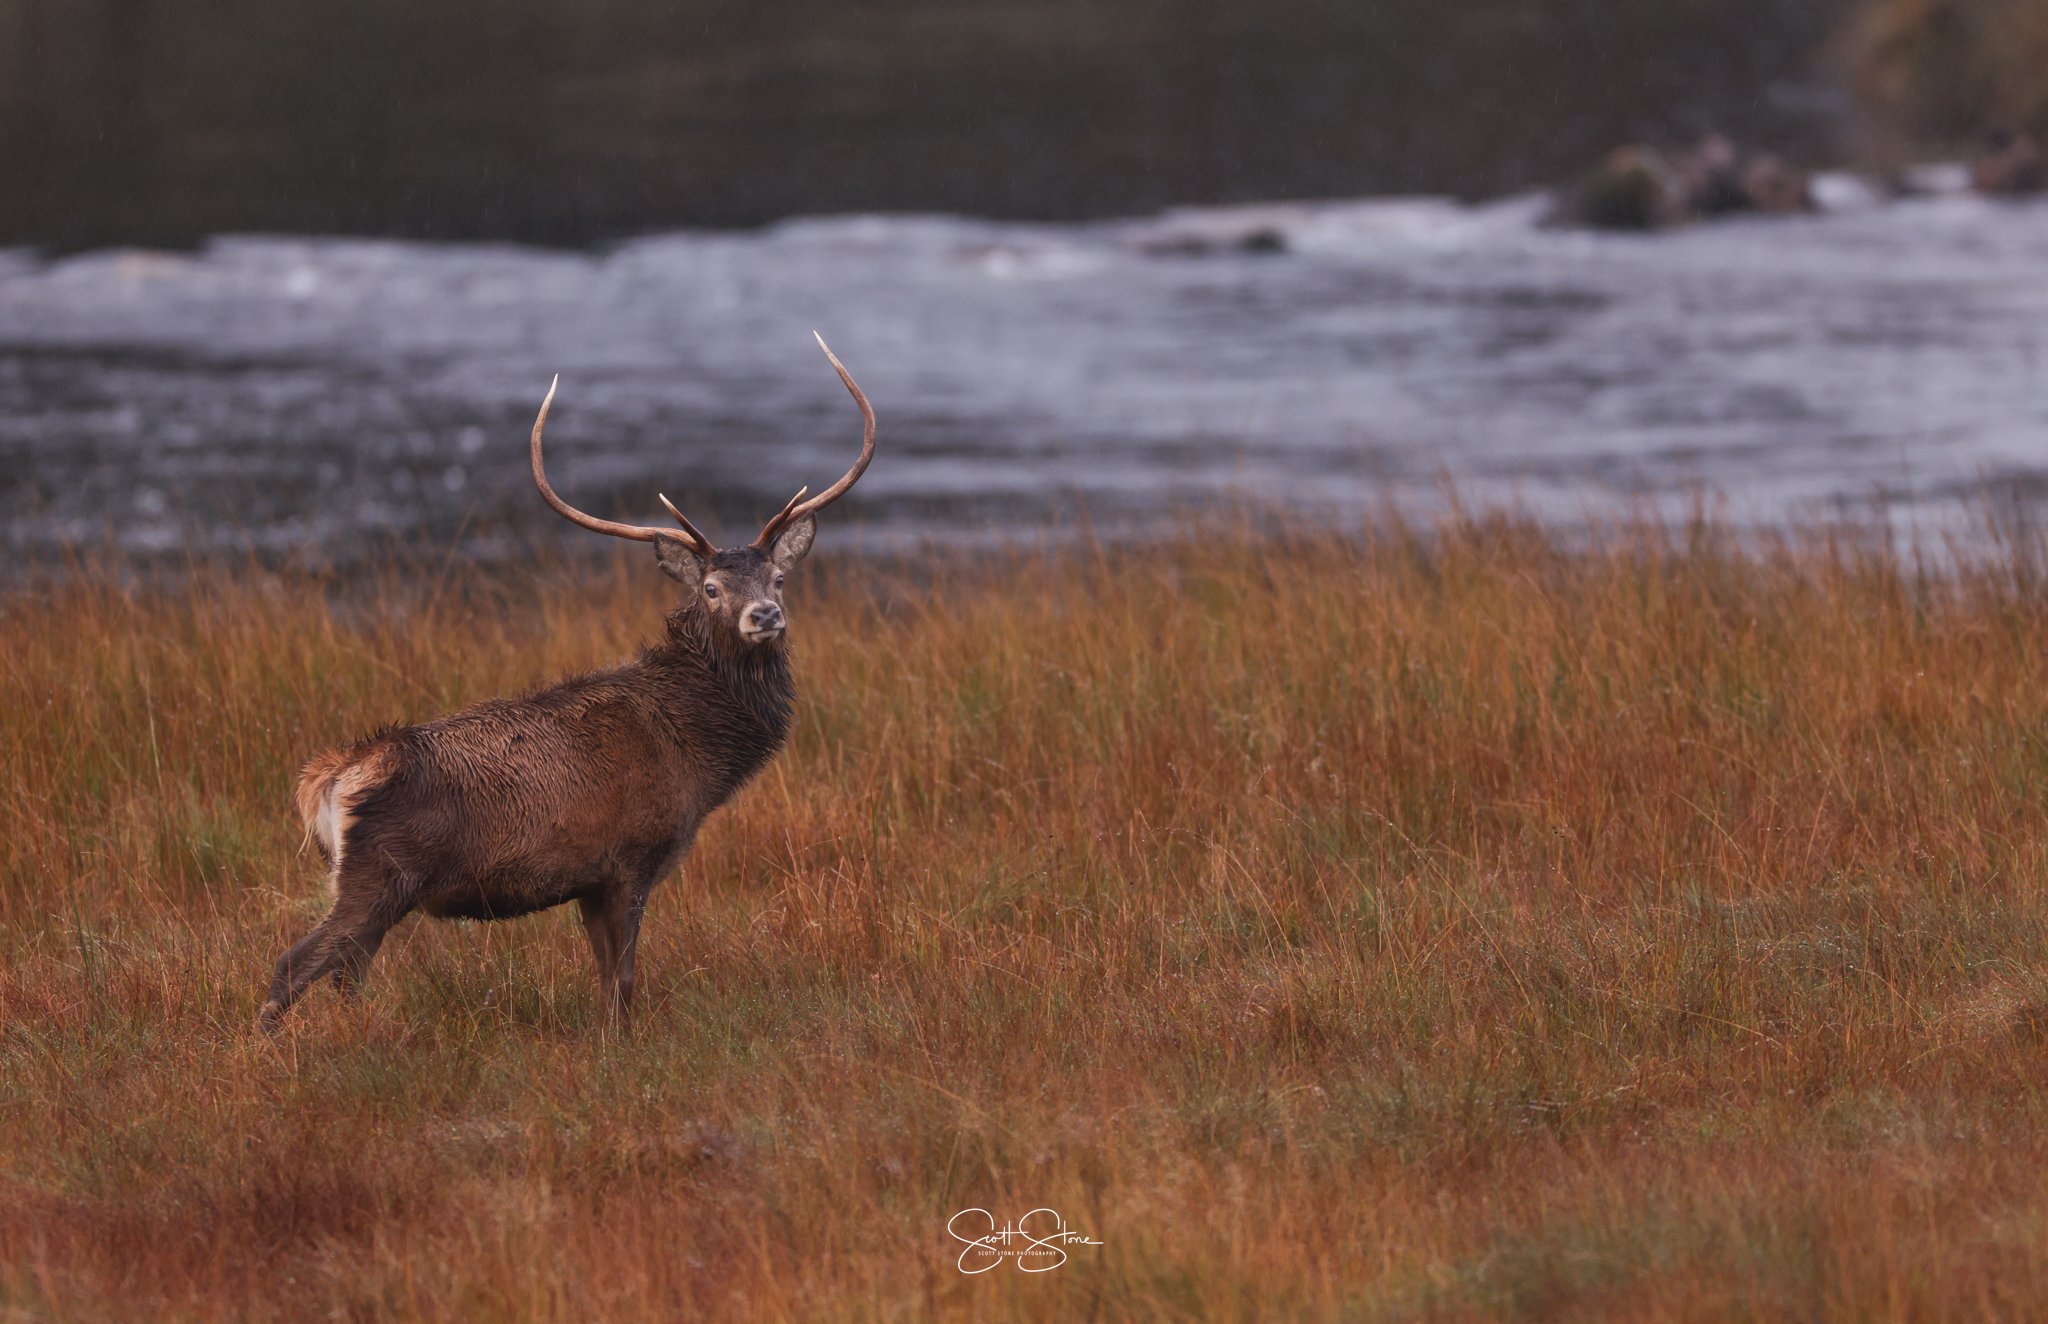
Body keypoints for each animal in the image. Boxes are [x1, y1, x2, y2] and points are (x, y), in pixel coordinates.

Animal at [259, 334, 874, 1031]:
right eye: (713, 588)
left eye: (778, 578)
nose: (765, 615)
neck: (701, 758)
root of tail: (327, 779)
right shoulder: (630, 858)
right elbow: (624, 980)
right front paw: (623, 1044)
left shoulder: (587, 879)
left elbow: (605, 980)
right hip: (377, 876)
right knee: (293, 964)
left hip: (373, 890)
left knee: (346, 974)